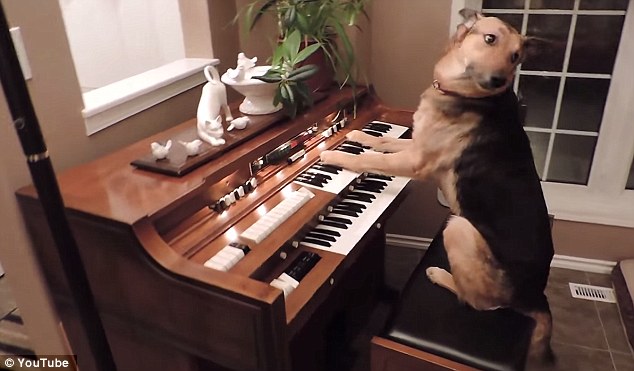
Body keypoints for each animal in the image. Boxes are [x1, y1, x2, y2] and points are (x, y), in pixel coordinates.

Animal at [318, 8, 552, 364]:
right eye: (490, 39)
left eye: (516, 57)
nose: (499, 80)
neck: (461, 93)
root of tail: (535, 295)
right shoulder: (414, 145)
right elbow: (382, 141)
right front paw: (356, 135)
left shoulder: (415, 161)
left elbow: (369, 160)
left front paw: (334, 155)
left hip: (458, 228)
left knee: (481, 302)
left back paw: (440, 275)